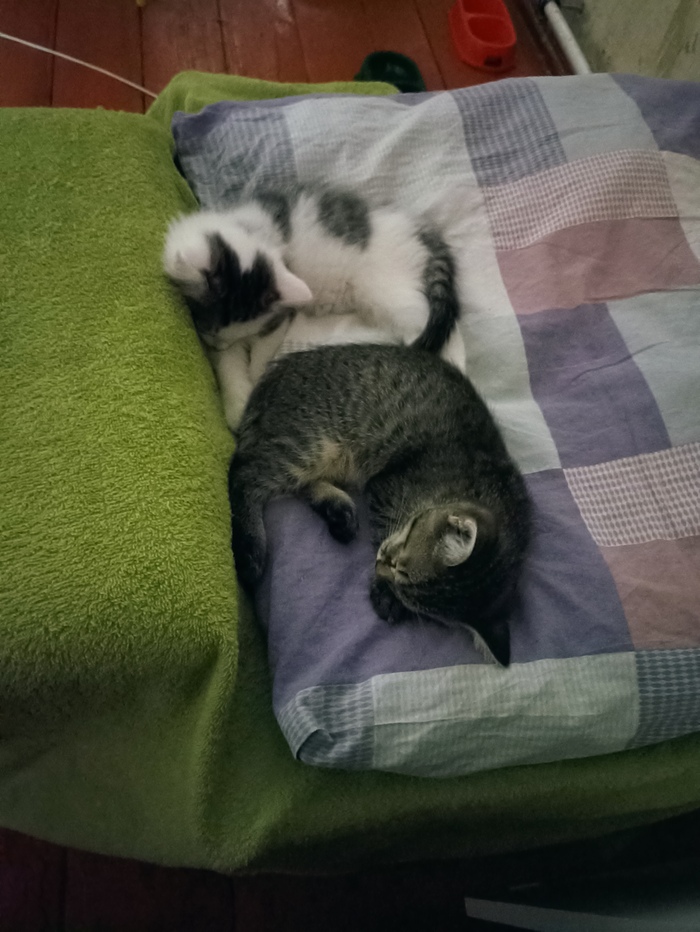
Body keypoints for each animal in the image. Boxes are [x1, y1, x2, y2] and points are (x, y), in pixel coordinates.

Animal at [163, 183, 466, 430]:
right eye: (206, 328)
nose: (215, 343)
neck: (254, 232)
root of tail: (421, 231)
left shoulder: (283, 313)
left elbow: (263, 350)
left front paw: (256, 375)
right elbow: (229, 364)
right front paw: (238, 402)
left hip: (387, 290)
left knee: (440, 328)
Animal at [228, 343, 531, 666]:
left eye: (406, 587)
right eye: (398, 565)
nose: (380, 564)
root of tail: (276, 372)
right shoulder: (385, 487)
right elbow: (382, 528)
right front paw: (383, 590)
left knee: (300, 485)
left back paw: (339, 512)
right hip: (309, 445)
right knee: (243, 473)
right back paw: (250, 549)